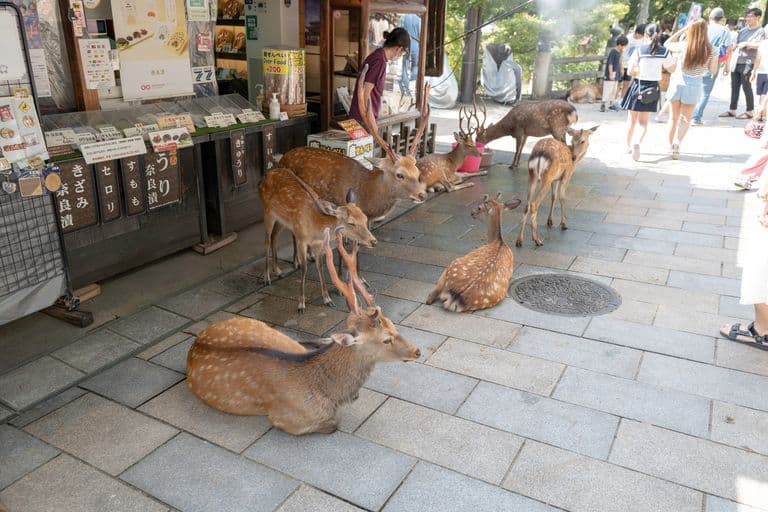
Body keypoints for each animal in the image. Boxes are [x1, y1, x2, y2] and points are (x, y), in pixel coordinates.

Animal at [187, 227, 421, 436]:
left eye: (392, 324)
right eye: (386, 339)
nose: (417, 351)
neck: (328, 394)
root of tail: (197, 340)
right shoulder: (287, 419)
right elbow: (334, 424)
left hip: (269, 330)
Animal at [258, 167, 376, 312]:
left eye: (365, 218)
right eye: (351, 223)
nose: (374, 241)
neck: (316, 227)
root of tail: (264, 177)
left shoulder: (318, 243)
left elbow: (320, 265)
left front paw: (327, 299)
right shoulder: (301, 238)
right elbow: (304, 268)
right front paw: (301, 304)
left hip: (282, 220)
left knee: (274, 236)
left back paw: (278, 271)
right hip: (267, 213)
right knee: (266, 241)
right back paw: (266, 277)